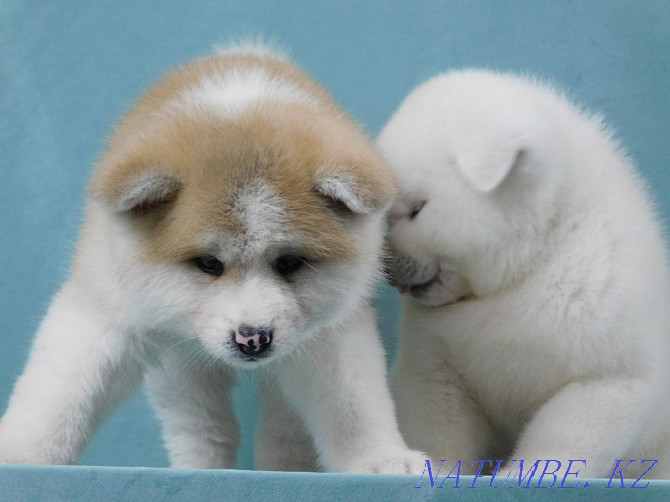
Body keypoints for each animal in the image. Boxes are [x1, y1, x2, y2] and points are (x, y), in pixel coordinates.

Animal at [0, 44, 426, 474]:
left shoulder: (331, 335)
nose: (253, 338)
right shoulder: (104, 310)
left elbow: (354, 409)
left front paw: (381, 458)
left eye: (290, 263)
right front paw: (20, 452)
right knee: (202, 426)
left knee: (281, 431)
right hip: (181, 366)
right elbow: (59, 395)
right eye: (208, 264)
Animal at [380, 69, 668, 478]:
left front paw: (526, 473)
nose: (385, 265)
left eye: (417, 209)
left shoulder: (607, 372)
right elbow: (438, 424)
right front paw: (437, 468)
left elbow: (561, 435)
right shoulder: (437, 365)